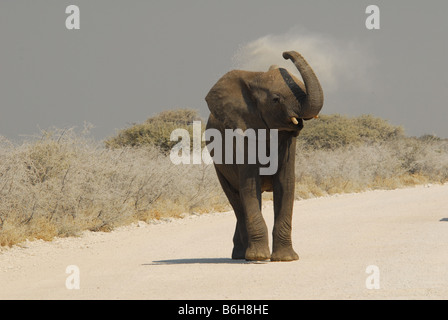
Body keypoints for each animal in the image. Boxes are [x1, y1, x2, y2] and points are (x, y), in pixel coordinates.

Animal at [205, 49, 324, 260]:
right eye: (276, 99)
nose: (285, 54)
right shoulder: (243, 133)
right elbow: (249, 185)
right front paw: (259, 258)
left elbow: (286, 184)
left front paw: (285, 259)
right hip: (218, 166)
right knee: (237, 201)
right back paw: (243, 255)